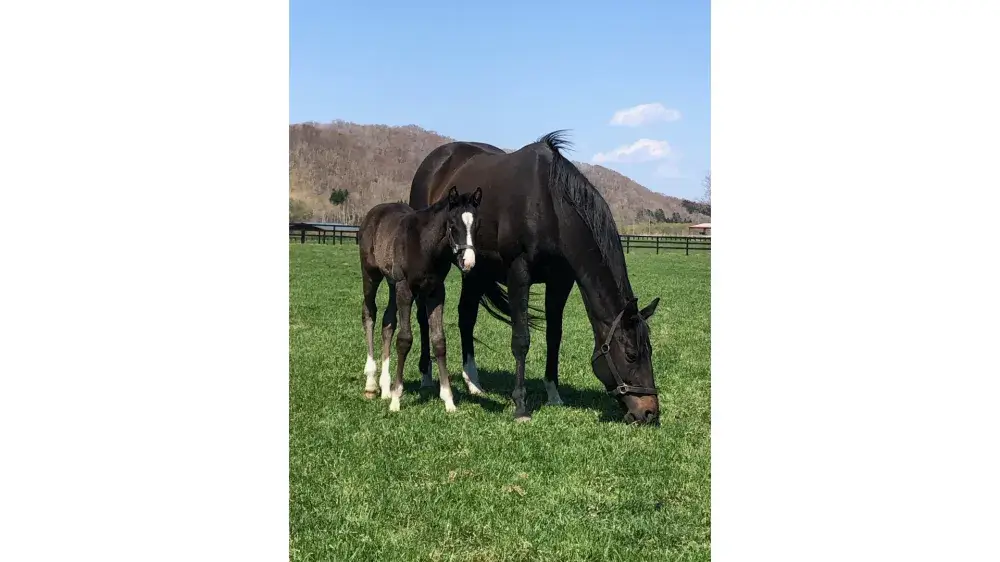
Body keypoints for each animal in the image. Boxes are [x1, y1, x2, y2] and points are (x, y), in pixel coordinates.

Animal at [360, 186, 484, 410]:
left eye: (477, 226)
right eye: (453, 225)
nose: (468, 262)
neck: (424, 245)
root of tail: (373, 213)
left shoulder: (436, 291)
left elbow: (439, 340)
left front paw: (448, 400)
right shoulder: (405, 289)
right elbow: (404, 339)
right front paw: (396, 399)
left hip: (392, 283)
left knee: (388, 322)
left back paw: (385, 386)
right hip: (371, 275)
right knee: (369, 314)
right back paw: (372, 383)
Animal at [408, 131, 664, 424]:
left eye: (650, 351)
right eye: (631, 355)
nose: (649, 412)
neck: (549, 206)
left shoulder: (560, 281)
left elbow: (554, 335)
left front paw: (553, 393)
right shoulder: (519, 273)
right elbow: (521, 339)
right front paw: (521, 406)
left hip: (475, 271)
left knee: (466, 317)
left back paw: (473, 383)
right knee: (424, 317)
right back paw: (427, 376)